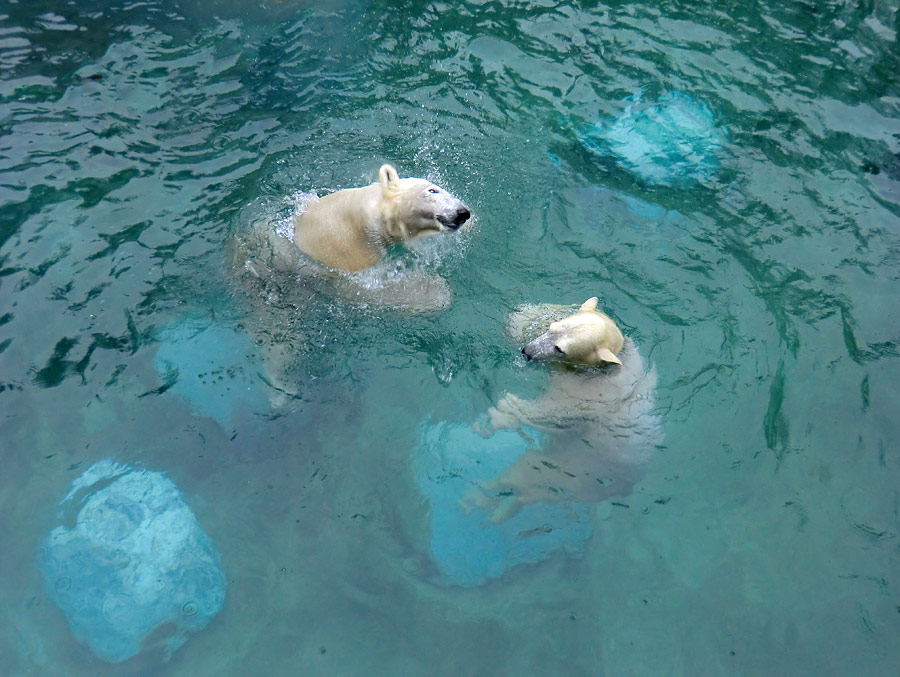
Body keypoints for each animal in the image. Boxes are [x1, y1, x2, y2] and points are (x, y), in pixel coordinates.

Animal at [468, 298, 664, 524]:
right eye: (552, 328)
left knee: (526, 474)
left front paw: (503, 408)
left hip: (573, 470)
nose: (527, 352)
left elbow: (553, 411)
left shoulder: (590, 391)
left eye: (559, 348)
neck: (603, 368)